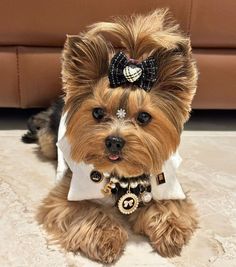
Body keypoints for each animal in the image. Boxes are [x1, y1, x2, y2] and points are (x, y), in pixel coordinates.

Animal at [34, 9, 198, 264]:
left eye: (144, 117)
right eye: (97, 113)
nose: (114, 141)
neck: (122, 175)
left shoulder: (169, 185)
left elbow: (170, 206)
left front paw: (170, 233)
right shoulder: (64, 198)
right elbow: (87, 211)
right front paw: (107, 239)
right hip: (49, 141)